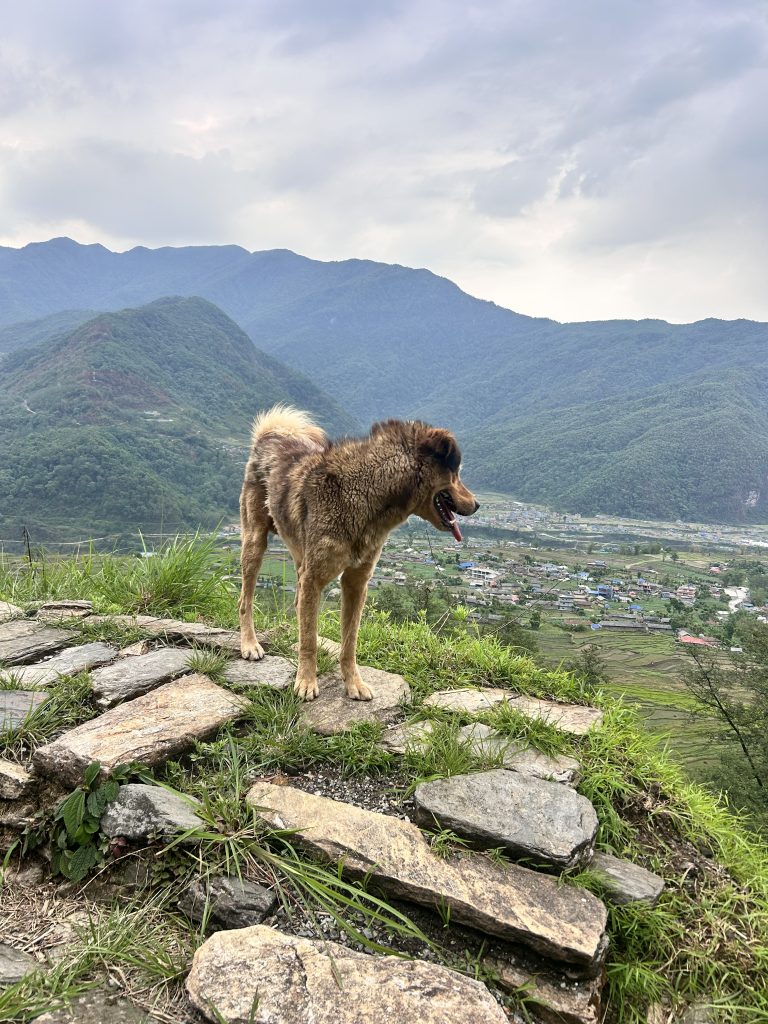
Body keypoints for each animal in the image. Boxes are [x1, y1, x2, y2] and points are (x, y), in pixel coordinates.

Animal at [240, 403, 481, 700]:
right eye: (456, 474)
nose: (477, 504)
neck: (364, 493)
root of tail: (270, 435)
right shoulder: (314, 578)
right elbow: (308, 639)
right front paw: (306, 681)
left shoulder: (357, 582)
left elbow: (349, 640)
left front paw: (353, 683)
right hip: (255, 542)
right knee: (245, 600)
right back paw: (249, 644)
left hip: (300, 554)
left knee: (298, 604)